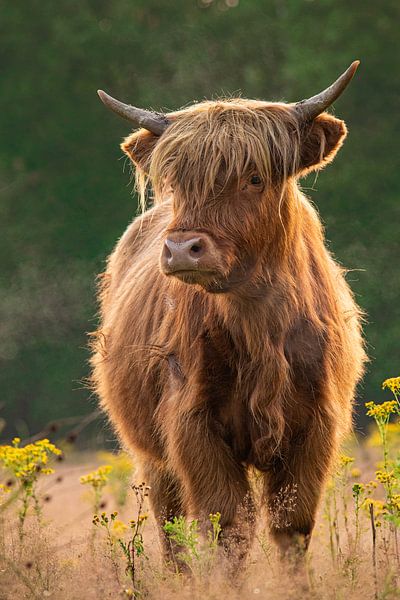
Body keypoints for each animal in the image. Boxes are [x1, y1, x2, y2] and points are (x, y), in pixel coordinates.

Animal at [92, 63, 368, 564]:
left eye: (254, 178)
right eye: (177, 180)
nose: (182, 248)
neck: (260, 326)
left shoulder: (315, 427)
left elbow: (292, 528)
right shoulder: (192, 426)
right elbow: (228, 528)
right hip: (150, 454)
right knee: (171, 528)